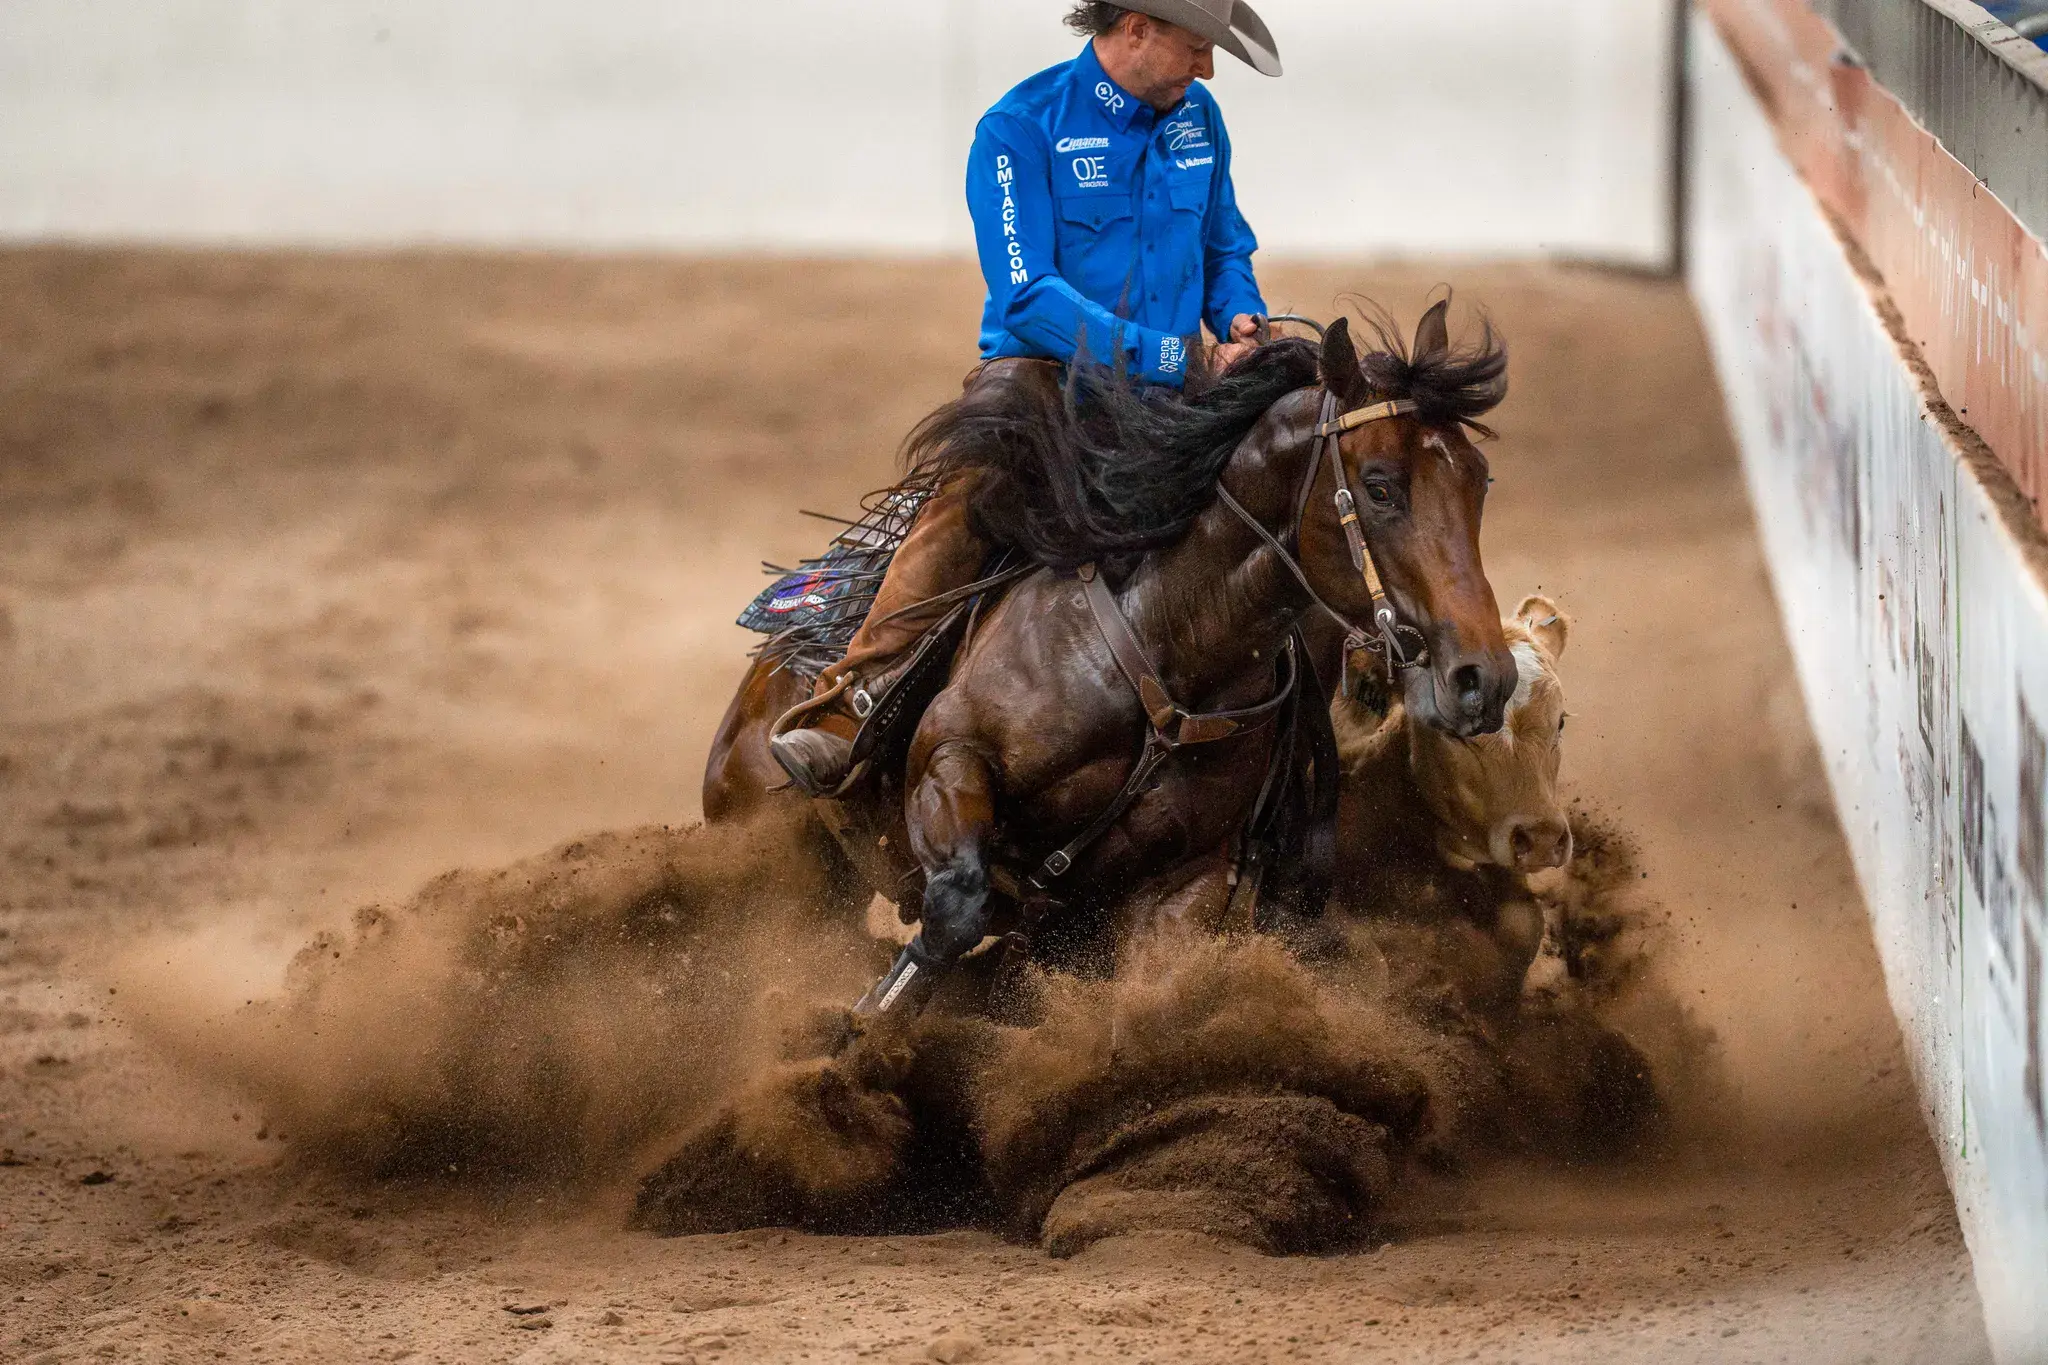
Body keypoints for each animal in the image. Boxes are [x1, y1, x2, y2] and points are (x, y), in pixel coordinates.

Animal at [702, 306, 1519, 1020]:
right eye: (1379, 486)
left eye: (1480, 480)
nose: (1485, 678)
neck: (1167, 652)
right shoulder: (948, 760)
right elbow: (958, 904)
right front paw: (863, 1025)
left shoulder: (1181, 889)